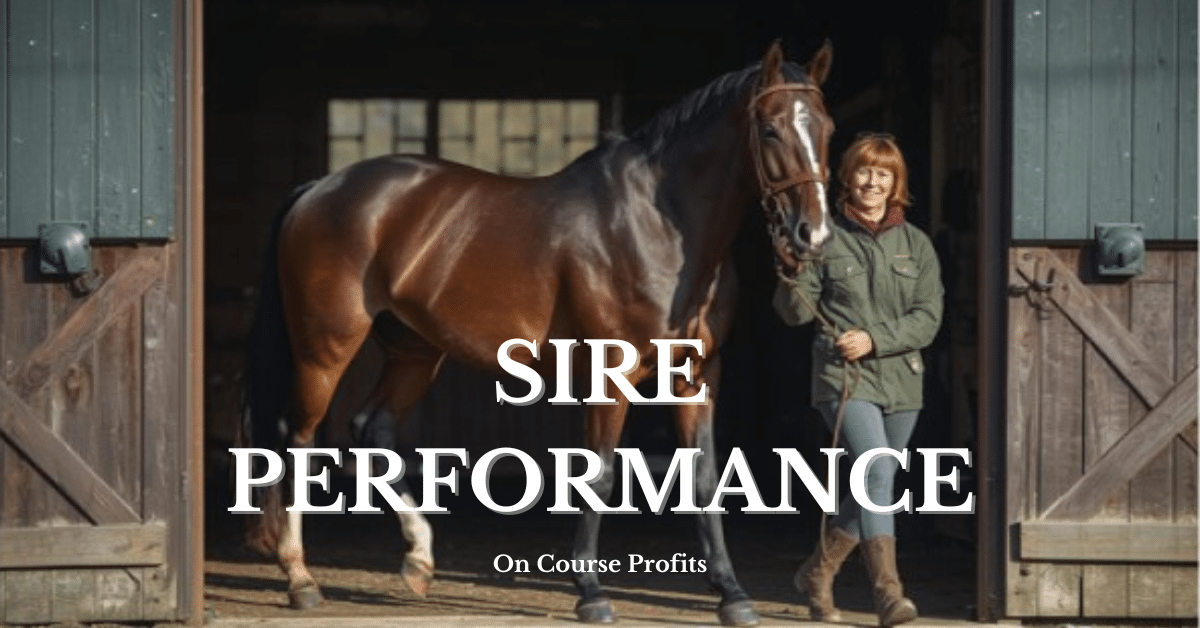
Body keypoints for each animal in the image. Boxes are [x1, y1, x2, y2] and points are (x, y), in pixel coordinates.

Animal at [242, 40, 834, 626]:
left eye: (826, 127)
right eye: (770, 128)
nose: (813, 233)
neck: (660, 225)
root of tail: (320, 187)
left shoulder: (697, 374)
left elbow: (707, 478)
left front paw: (732, 595)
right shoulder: (610, 373)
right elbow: (600, 476)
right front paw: (591, 593)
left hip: (415, 350)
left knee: (373, 429)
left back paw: (419, 558)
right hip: (325, 348)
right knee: (298, 437)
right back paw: (301, 579)